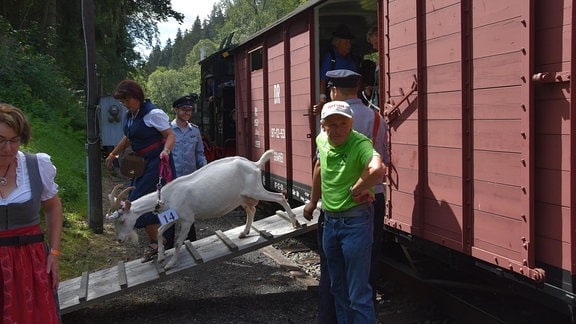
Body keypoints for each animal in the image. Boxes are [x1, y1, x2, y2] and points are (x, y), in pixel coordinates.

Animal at [106, 149, 302, 268]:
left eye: (122, 219)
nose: (119, 240)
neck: (166, 196)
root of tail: (255, 164)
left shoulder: (187, 219)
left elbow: (177, 243)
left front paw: (170, 264)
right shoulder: (175, 217)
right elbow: (161, 231)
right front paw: (161, 256)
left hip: (256, 190)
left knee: (280, 197)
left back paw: (295, 222)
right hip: (243, 197)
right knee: (251, 210)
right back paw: (244, 233)